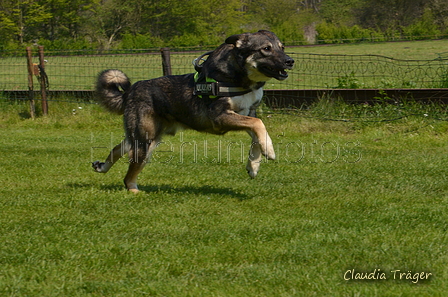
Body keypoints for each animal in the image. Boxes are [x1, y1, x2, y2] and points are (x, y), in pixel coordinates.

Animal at [92, 30, 294, 192]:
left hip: (144, 138)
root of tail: (130, 91)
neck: (237, 76)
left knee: (117, 149)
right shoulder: (220, 117)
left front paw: (253, 165)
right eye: (266, 48)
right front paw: (269, 151)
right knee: (128, 175)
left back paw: (102, 167)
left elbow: (257, 136)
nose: (290, 61)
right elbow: (259, 124)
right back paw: (134, 191)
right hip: (145, 141)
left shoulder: (246, 114)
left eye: (282, 47)